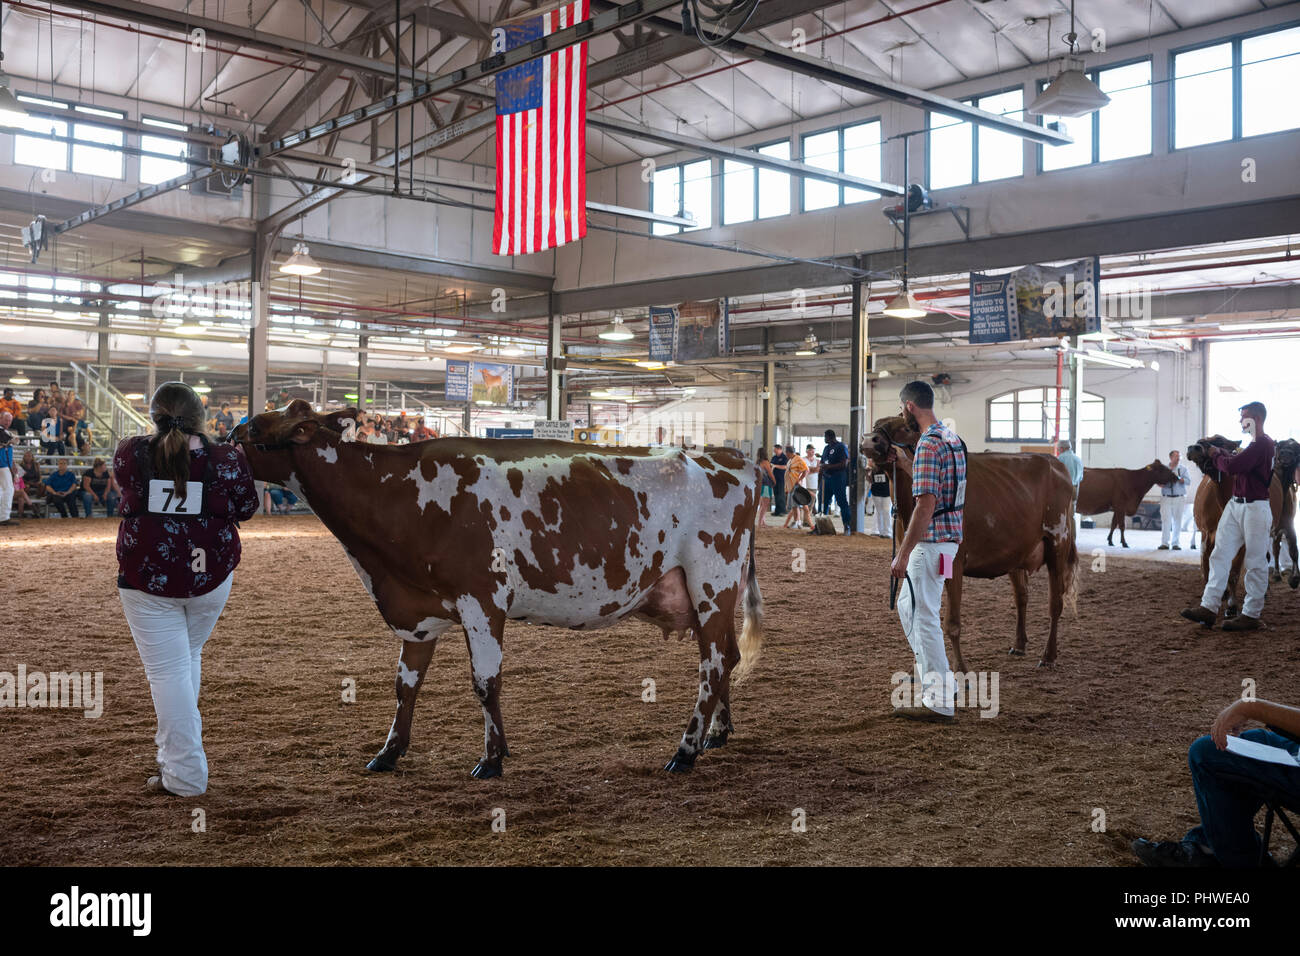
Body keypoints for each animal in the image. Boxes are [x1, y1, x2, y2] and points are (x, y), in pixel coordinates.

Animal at [233, 400, 759, 780]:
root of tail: (728, 457)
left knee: (713, 664)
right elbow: (406, 686)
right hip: (711, 594)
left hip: (711, 582)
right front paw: (389, 752)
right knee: (726, 656)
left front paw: (491, 759)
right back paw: (717, 733)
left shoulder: (481, 601)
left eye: (253, 430)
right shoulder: (419, 613)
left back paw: (685, 750)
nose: (225, 439)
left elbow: (485, 683)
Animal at [863, 416, 1076, 671]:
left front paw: (960, 668)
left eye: (905, 427)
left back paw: (1048, 656)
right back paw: (1019, 644)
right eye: (875, 424)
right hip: (1017, 552)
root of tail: (1057, 464)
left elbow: (952, 623)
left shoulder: (953, 563)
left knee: (1055, 603)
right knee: (1022, 597)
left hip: (1058, 543)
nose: (869, 439)